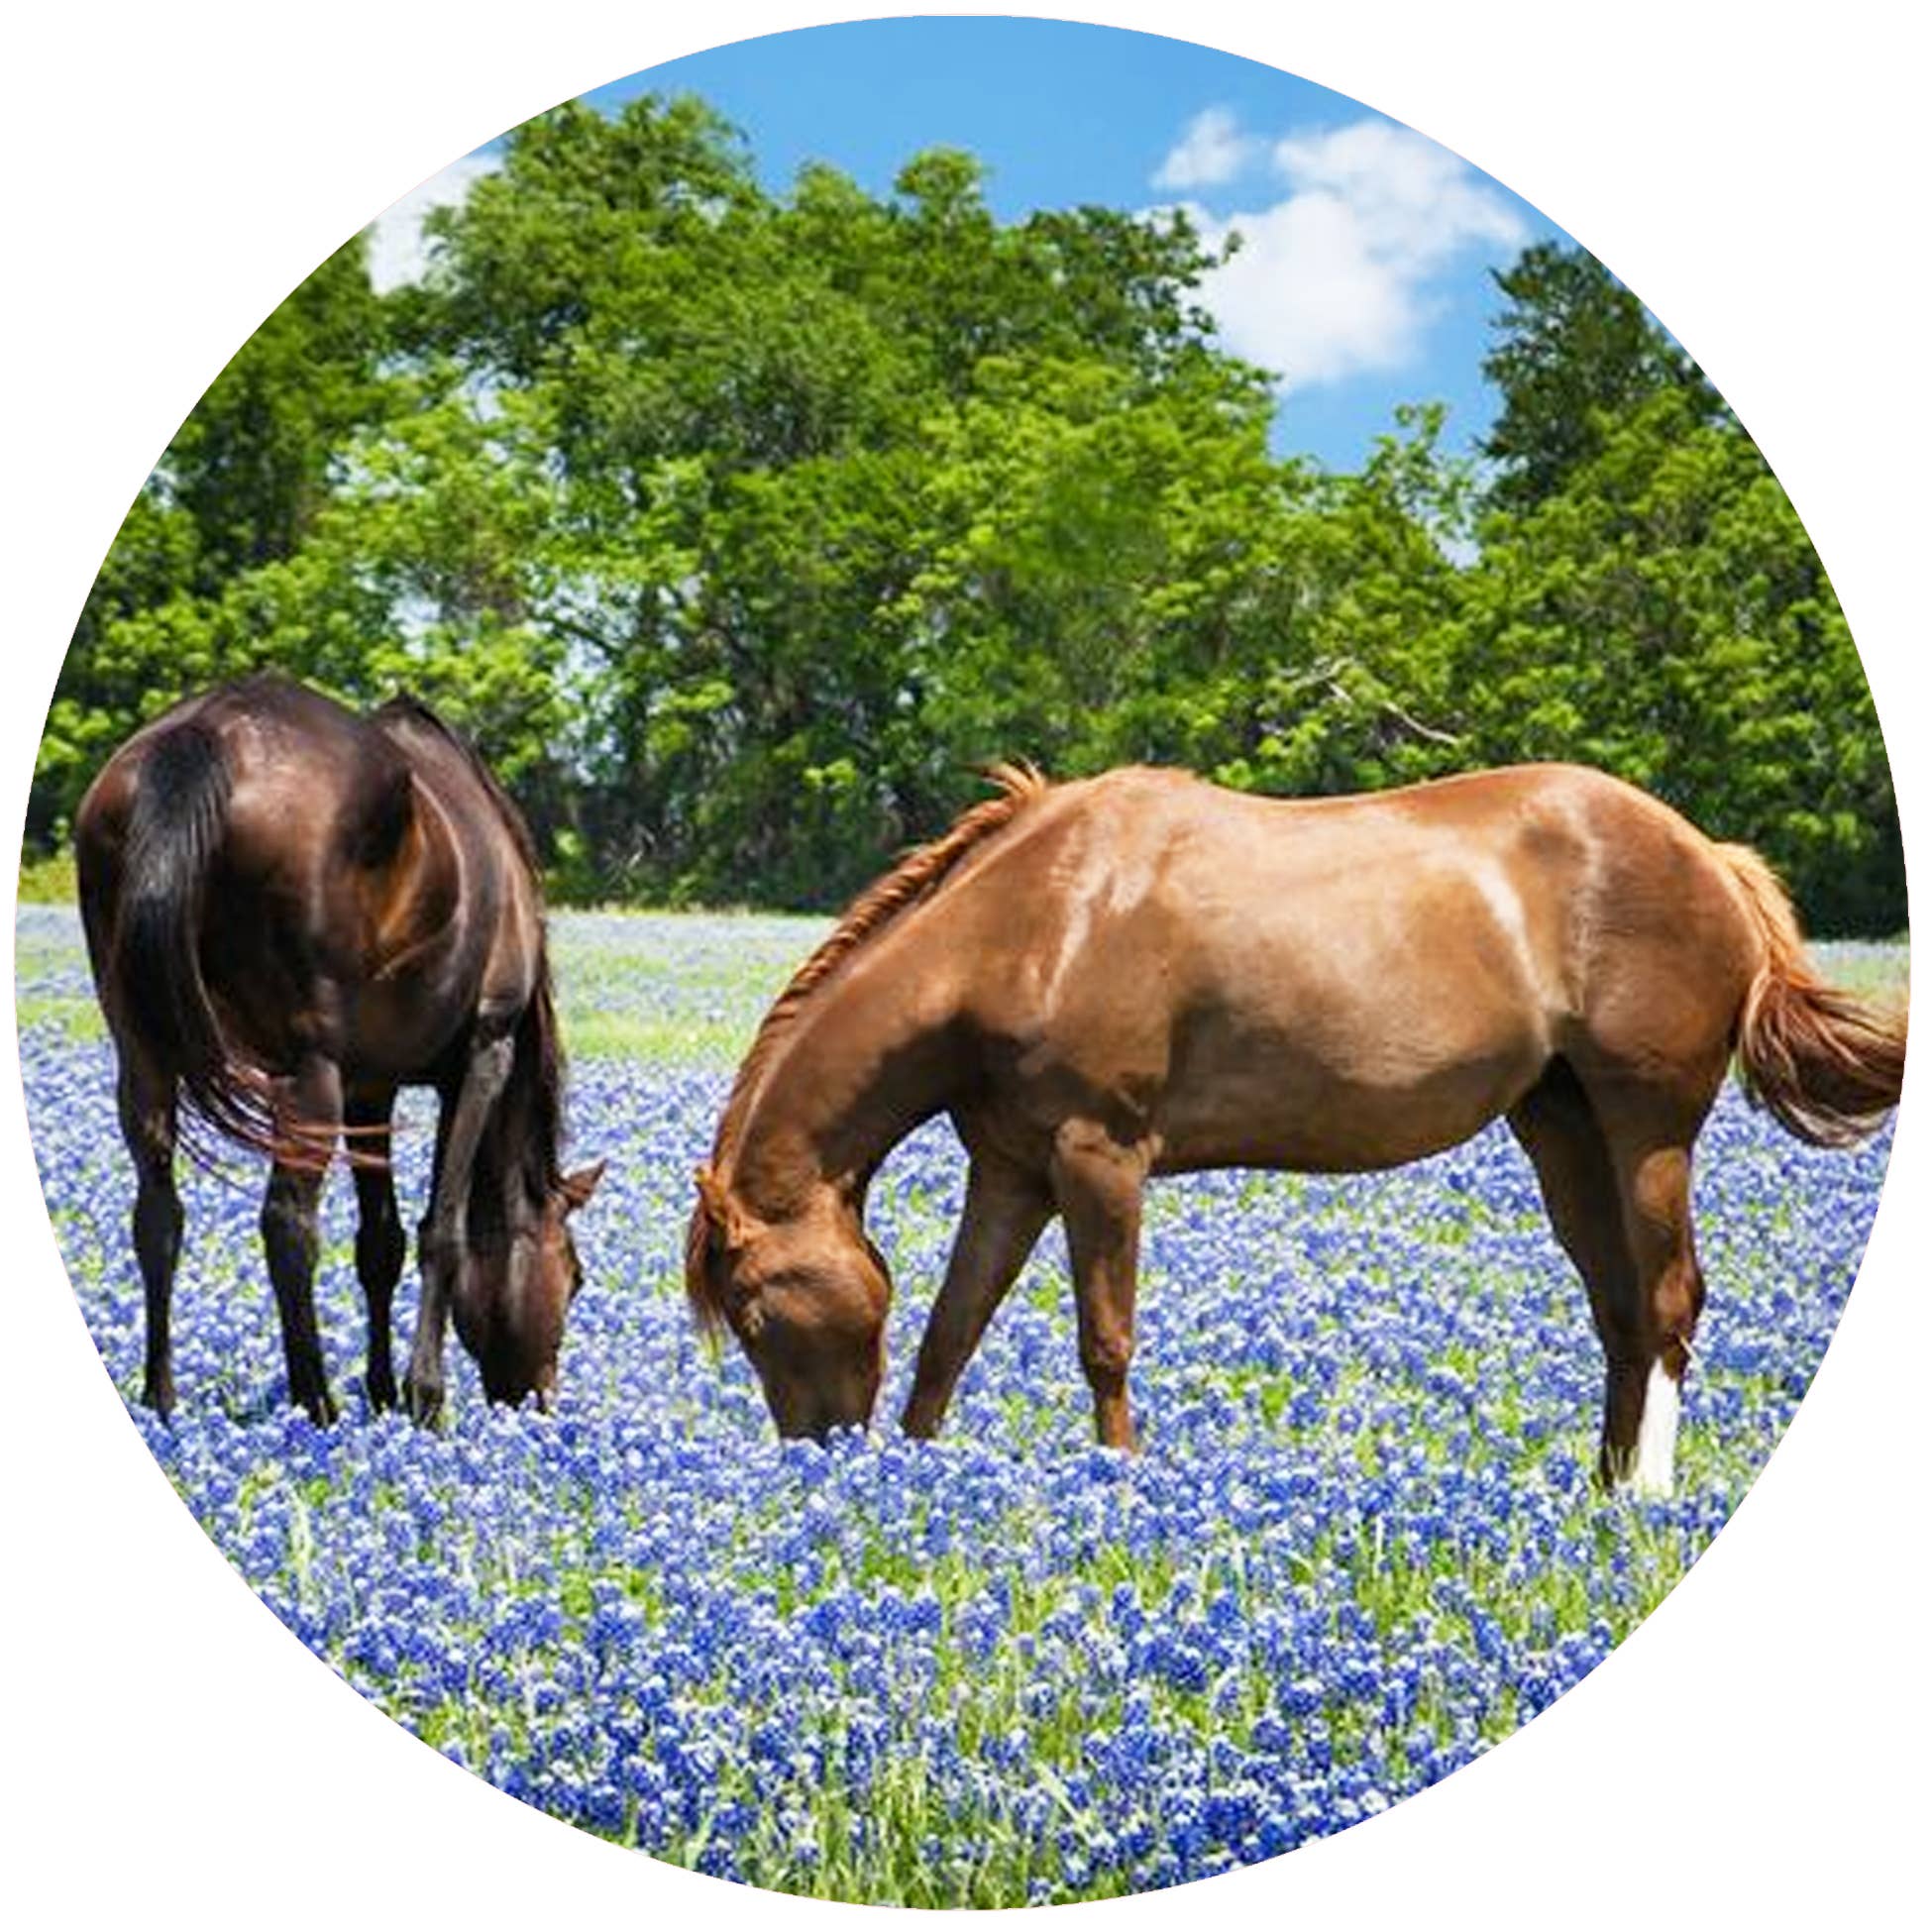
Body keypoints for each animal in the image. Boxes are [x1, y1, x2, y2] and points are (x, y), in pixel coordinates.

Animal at [75, 673, 603, 1423]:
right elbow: (442, 1229)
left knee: (157, 1216)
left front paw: (381, 1391)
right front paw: (423, 1397)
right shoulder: (484, 1050)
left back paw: (162, 1398)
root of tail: (206, 733)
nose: (538, 1399)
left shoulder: (371, 1085)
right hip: (307, 1067)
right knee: (287, 1224)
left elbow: (379, 1242)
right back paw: (314, 1400)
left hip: (143, 1052)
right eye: (576, 1276)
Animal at [686, 761, 1904, 1495]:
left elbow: (1104, 1340)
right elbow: (950, 1331)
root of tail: (1711, 855)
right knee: (1616, 1309)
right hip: (1561, 1126)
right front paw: (919, 1484)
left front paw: (1119, 1481)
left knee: (1667, 1301)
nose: (817, 1462)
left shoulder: (1100, 1158)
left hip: (1649, 1128)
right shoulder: (1012, 1170)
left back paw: (1645, 1489)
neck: (1033, 926)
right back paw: (1597, 1490)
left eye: (751, 1310)